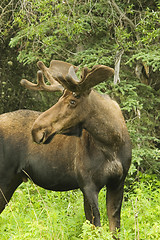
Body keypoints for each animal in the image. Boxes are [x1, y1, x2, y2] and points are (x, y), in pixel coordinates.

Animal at [0, 60, 131, 238]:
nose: (36, 130)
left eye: (72, 101)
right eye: (60, 98)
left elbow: (113, 227)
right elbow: (95, 225)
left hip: (12, 180)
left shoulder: (118, 182)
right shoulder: (88, 184)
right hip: (4, 178)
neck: (112, 143)